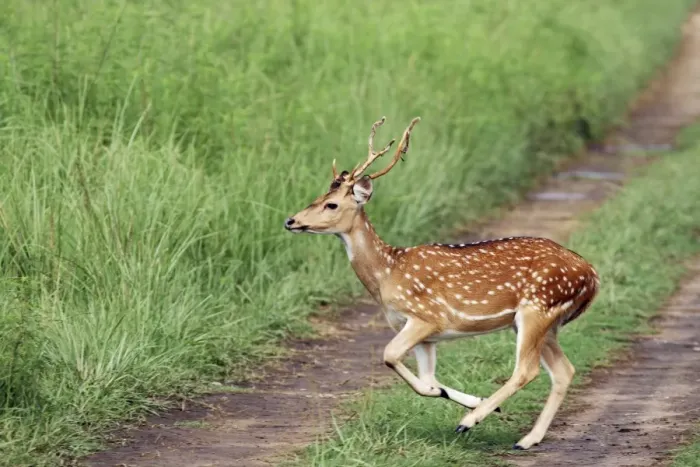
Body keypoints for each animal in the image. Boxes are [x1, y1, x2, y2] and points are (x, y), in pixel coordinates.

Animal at [284, 117, 600, 450]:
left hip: (538, 308)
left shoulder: (427, 317)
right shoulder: (427, 337)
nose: (291, 221)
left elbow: (389, 356)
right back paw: (526, 438)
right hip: (547, 321)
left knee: (527, 370)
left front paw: (474, 408)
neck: (388, 273)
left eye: (331, 205)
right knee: (564, 370)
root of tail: (592, 274)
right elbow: (427, 381)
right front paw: (468, 399)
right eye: (316, 198)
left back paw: (470, 423)